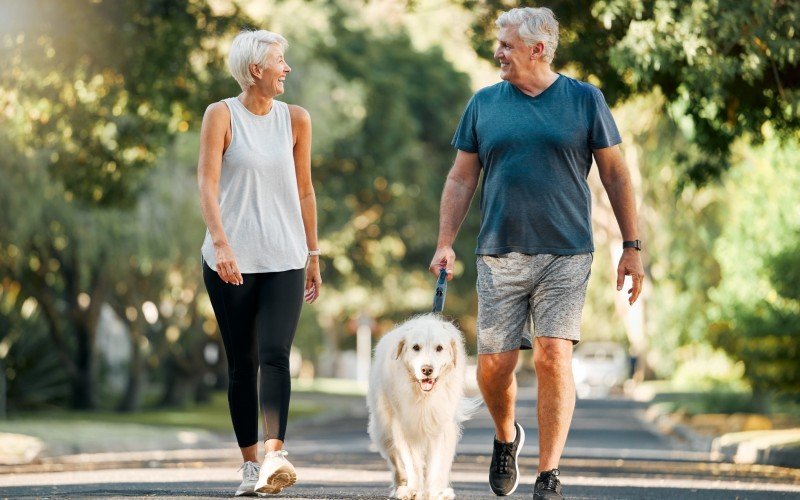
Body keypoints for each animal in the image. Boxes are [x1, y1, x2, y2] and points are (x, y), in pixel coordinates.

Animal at [368, 314, 476, 498]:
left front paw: (438, 492)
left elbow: (438, 464)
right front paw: (413, 490)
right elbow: (412, 462)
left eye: (439, 348)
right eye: (416, 347)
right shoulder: (405, 427)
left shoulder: (442, 427)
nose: (427, 370)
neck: (424, 396)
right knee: (396, 461)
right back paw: (401, 486)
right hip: (384, 429)